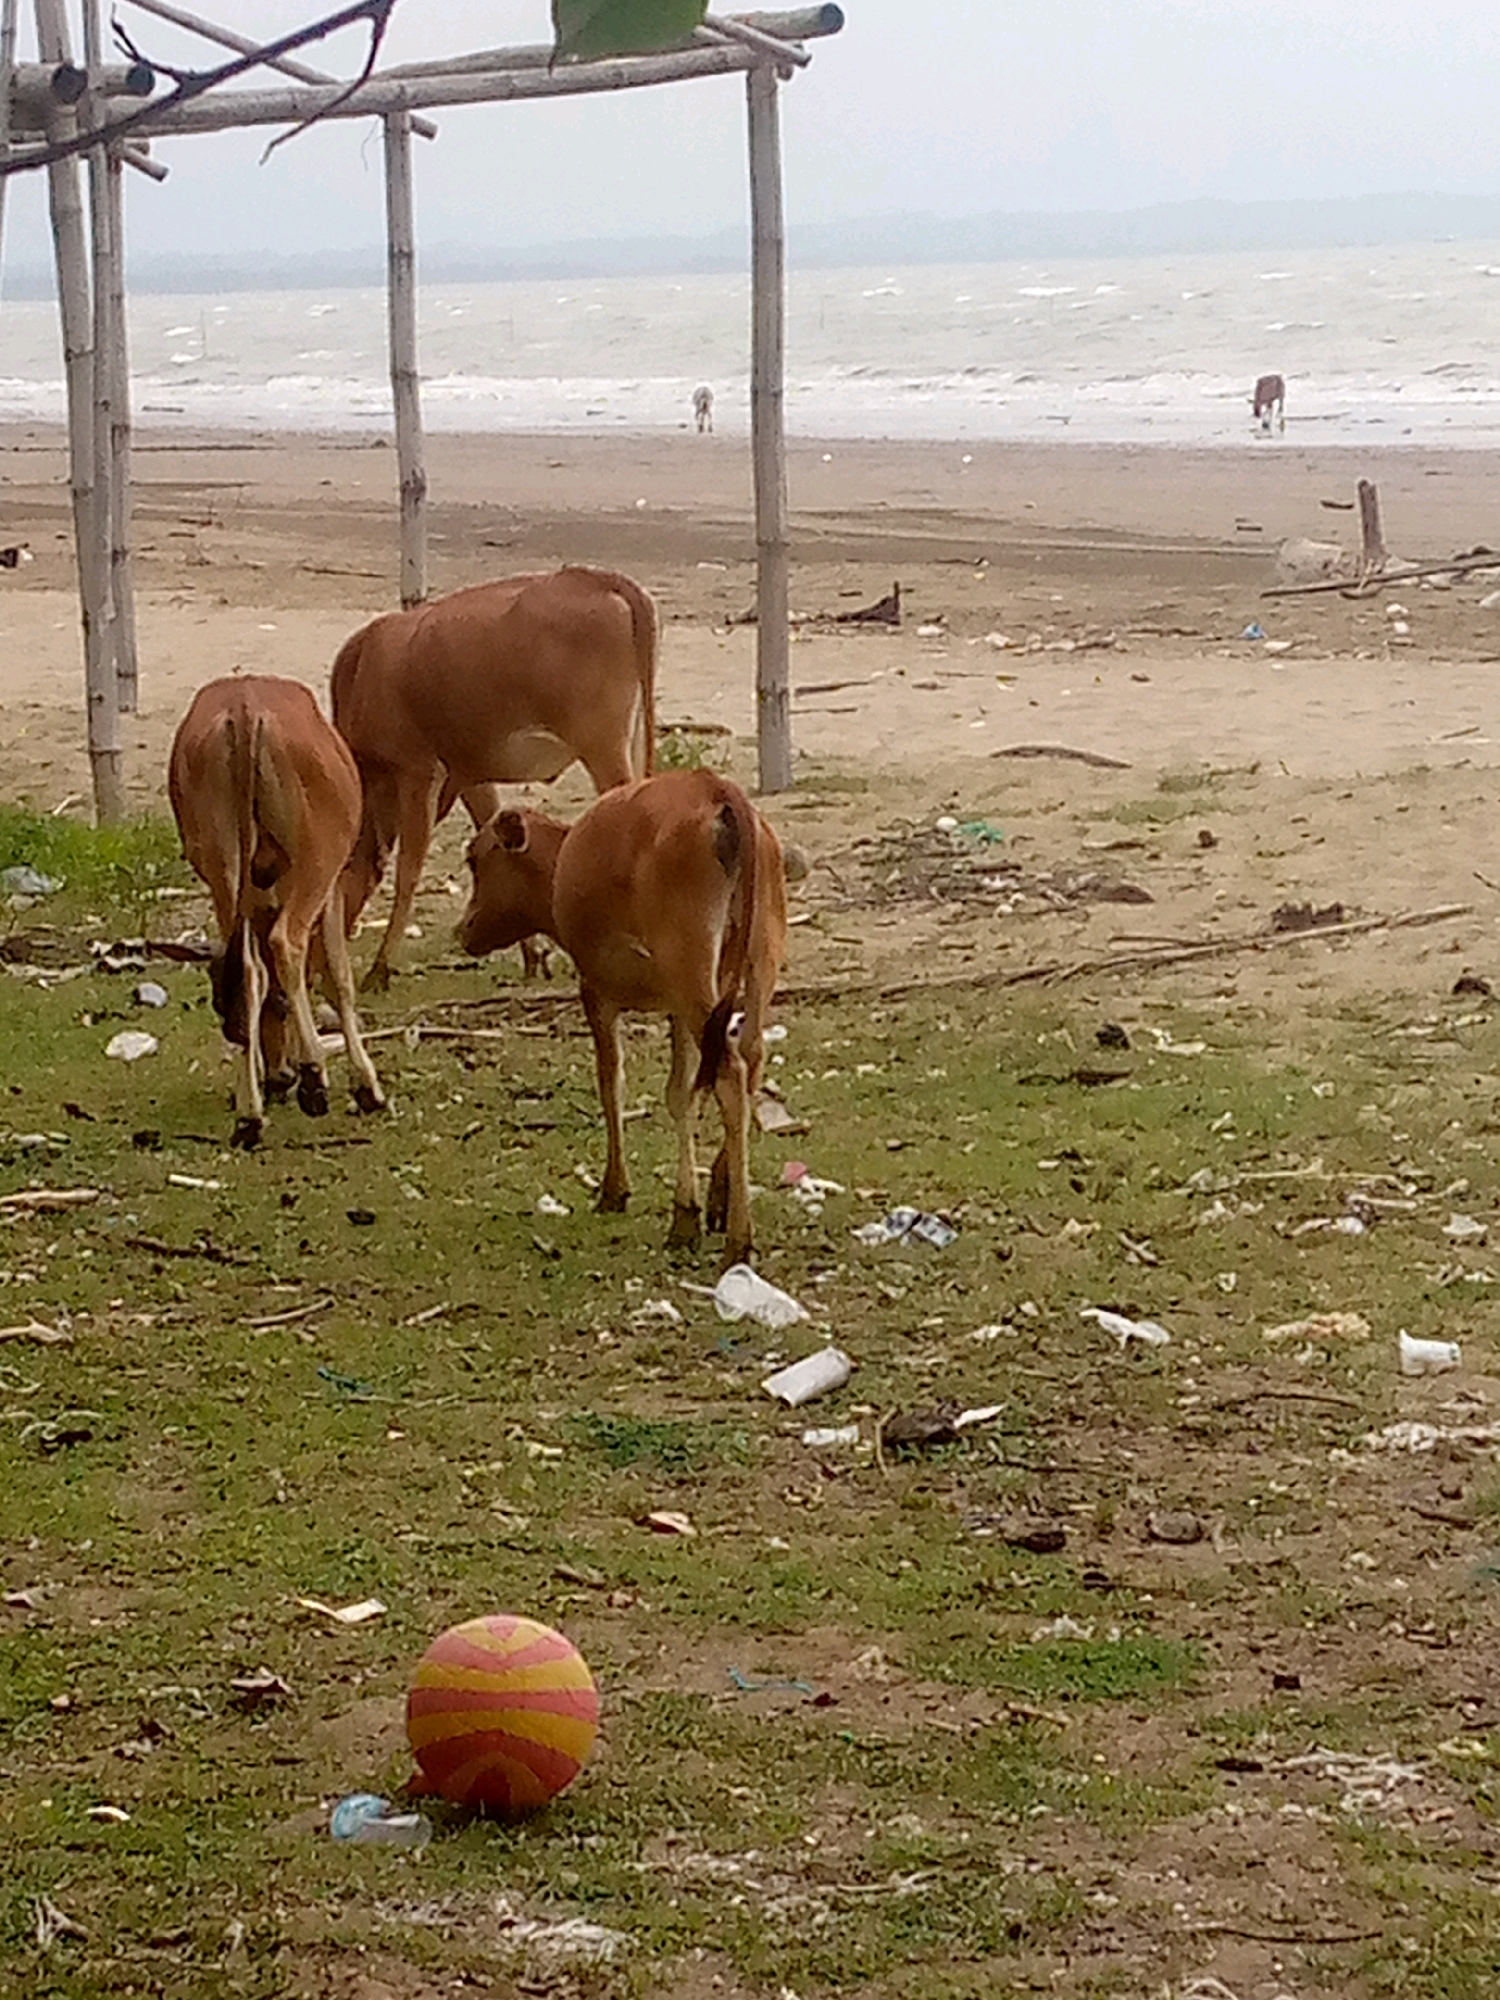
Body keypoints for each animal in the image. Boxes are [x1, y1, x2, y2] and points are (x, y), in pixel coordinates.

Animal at [168, 675, 385, 1150]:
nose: (279, 1077)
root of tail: (244, 708)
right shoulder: (332, 888)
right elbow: (337, 977)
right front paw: (364, 1085)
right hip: (315, 862)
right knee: (286, 943)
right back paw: (315, 1077)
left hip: (222, 871)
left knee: (249, 970)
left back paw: (250, 1115)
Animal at [332, 566, 658, 992]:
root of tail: (598, 578)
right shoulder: (470, 776)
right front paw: (534, 955)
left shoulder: (419, 772)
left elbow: (408, 872)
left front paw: (379, 968)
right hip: (630, 742)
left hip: (603, 747)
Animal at [456, 769, 788, 1266]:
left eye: (476, 860)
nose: (463, 929)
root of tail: (714, 787)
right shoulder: (676, 1007)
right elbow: (682, 1093)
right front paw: (687, 1210)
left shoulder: (597, 991)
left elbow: (611, 1081)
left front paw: (615, 1188)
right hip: (756, 961)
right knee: (750, 1056)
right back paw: (721, 1193)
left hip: (690, 968)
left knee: (730, 1074)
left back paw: (738, 1239)